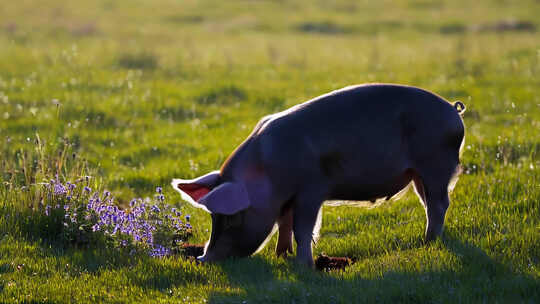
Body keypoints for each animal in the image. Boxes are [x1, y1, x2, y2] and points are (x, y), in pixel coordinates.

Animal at [172, 83, 464, 266]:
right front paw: (282, 256)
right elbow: (284, 224)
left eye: (232, 218)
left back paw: (429, 241)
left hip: (436, 163)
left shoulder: (311, 190)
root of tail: (453, 110)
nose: (203, 259)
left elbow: (303, 229)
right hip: (419, 174)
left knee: (439, 204)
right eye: (214, 217)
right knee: (430, 203)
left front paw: (304, 267)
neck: (265, 169)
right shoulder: (287, 200)